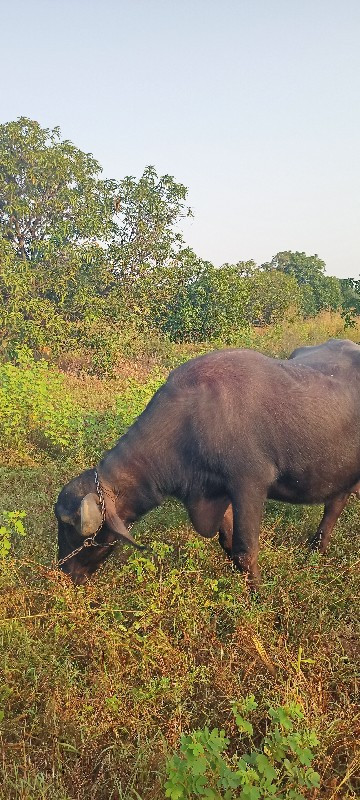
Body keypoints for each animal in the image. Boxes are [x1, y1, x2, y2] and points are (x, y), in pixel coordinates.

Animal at [54, 338, 360, 588]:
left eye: (70, 527)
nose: (65, 571)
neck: (190, 421)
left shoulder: (249, 485)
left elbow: (245, 549)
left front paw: (257, 596)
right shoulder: (215, 492)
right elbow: (227, 542)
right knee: (336, 502)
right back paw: (317, 547)